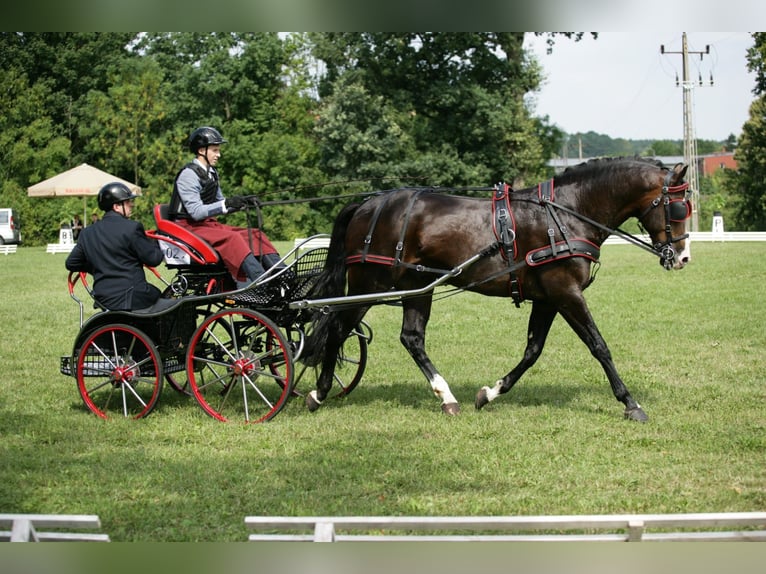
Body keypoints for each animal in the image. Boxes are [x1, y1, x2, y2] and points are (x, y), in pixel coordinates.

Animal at [304, 158, 692, 424]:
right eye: (677, 206)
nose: (683, 257)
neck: (566, 214)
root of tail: (368, 204)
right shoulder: (566, 292)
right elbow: (599, 346)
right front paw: (631, 403)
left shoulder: (547, 298)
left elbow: (532, 351)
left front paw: (490, 393)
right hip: (371, 284)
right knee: (338, 328)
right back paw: (319, 393)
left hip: (415, 288)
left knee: (408, 337)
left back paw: (444, 397)